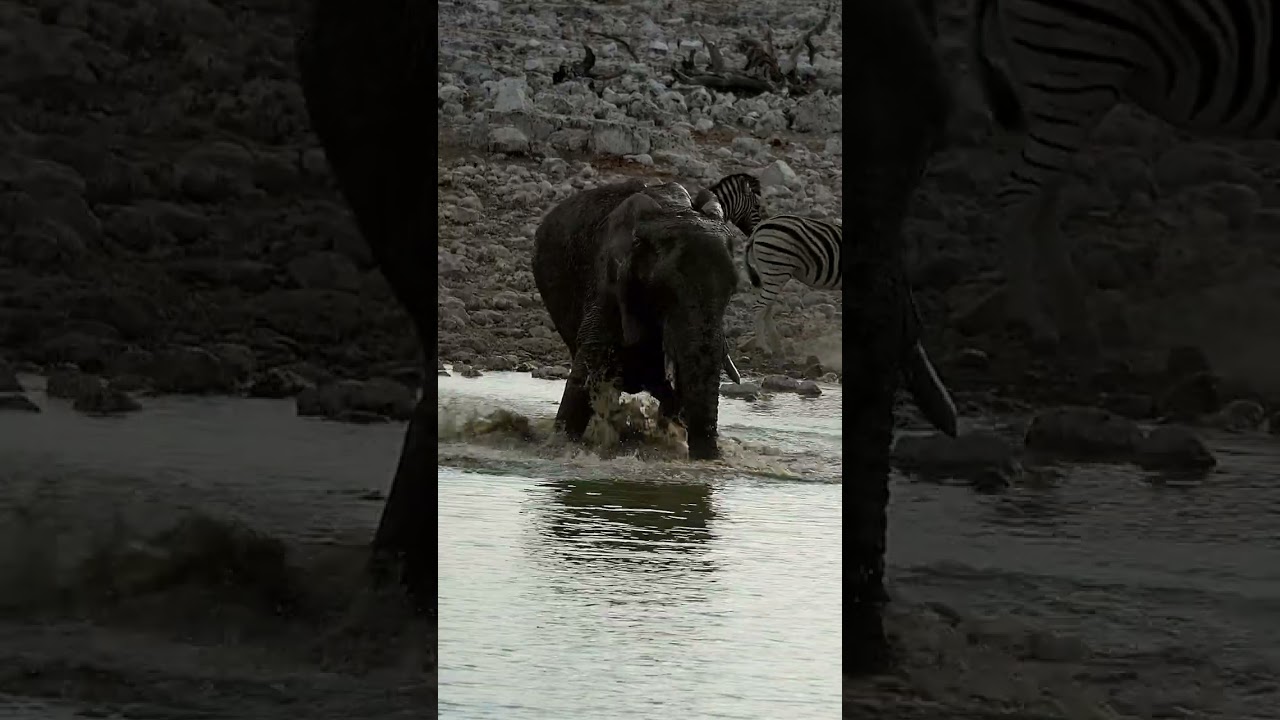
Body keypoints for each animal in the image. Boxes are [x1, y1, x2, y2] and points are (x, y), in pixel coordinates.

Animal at [533, 179, 741, 460]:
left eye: (732, 290)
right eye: (662, 290)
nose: (708, 458)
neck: (673, 210)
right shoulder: (608, 285)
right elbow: (583, 378)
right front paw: (561, 445)